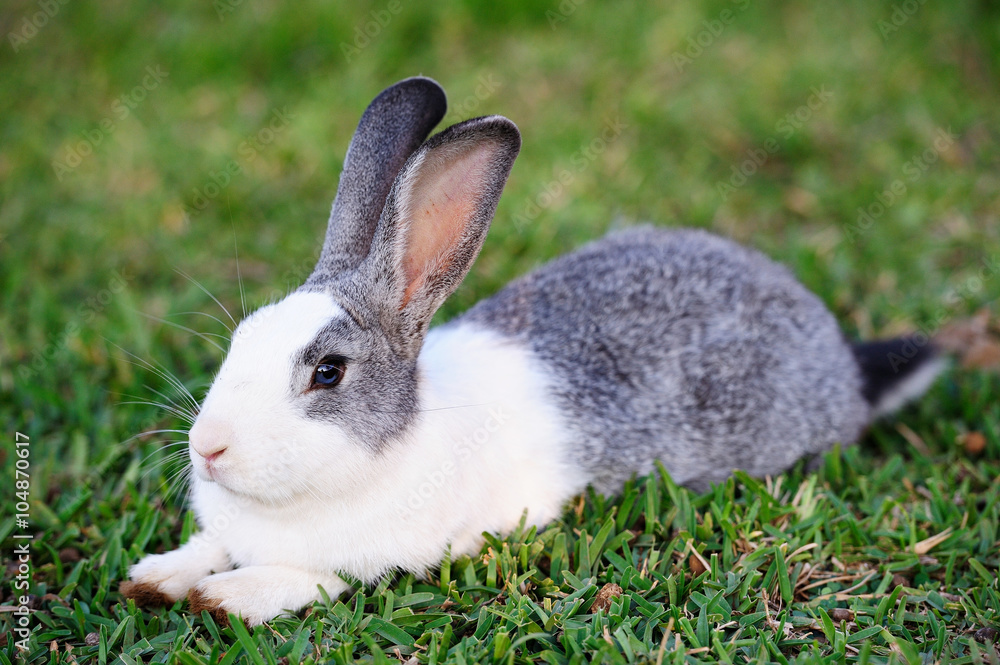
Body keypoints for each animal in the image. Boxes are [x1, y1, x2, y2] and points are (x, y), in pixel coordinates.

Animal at [121, 76, 943, 625]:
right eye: (240, 340)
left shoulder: (386, 557)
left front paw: (226, 597)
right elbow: (208, 545)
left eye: (328, 371)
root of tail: (842, 361)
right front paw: (154, 578)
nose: (208, 448)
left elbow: (310, 579)